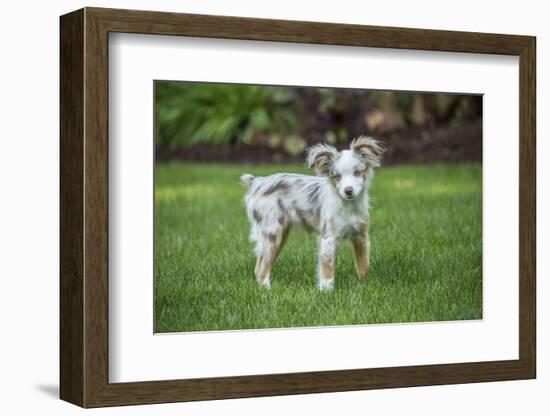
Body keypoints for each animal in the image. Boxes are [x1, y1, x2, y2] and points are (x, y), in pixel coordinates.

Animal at [242, 136, 384, 290]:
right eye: (337, 176)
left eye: (357, 172)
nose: (348, 191)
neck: (348, 206)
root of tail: (257, 182)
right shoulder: (328, 238)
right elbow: (327, 268)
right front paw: (327, 290)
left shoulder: (361, 236)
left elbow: (363, 264)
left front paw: (364, 284)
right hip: (272, 233)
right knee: (263, 268)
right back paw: (267, 288)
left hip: (279, 236)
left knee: (259, 265)